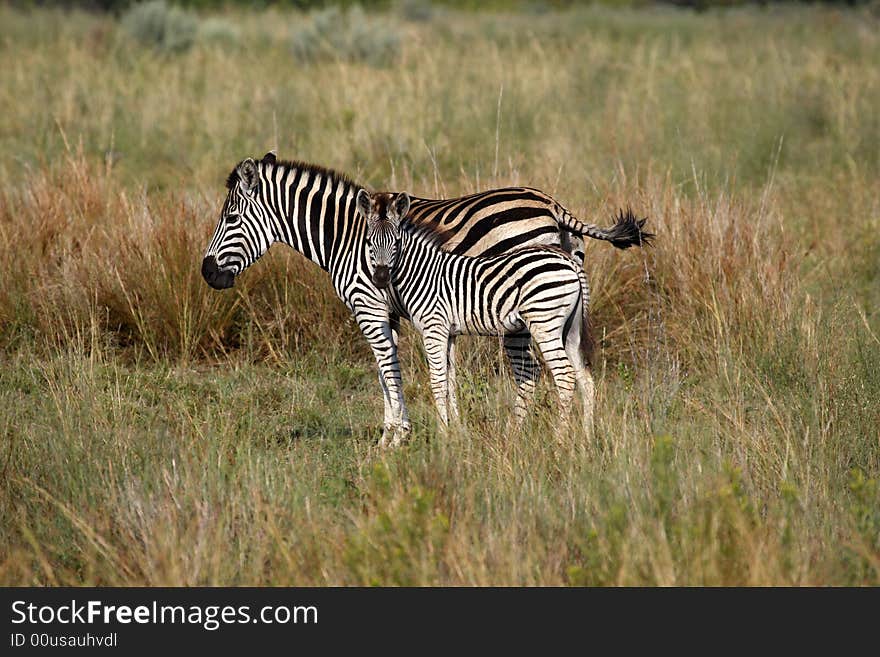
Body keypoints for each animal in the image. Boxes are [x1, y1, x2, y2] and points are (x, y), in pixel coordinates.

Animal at [354, 188, 596, 430]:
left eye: (396, 242)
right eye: (368, 242)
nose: (380, 278)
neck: (421, 271)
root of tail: (568, 261)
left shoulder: (433, 327)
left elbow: (435, 381)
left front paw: (442, 432)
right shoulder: (448, 332)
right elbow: (448, 379)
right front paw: (454, 430)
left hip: (544, 321)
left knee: (564, 376)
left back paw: (560, 436)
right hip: (570, 328)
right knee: (585, 378)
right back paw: (585, 435)